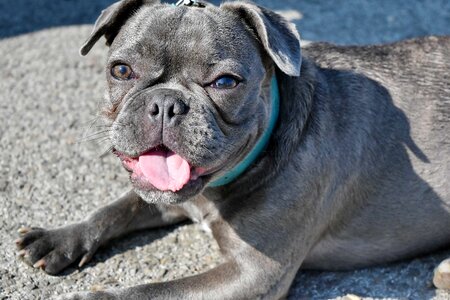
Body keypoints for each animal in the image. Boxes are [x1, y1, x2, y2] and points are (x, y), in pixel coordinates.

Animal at [14, 0, 450, 298]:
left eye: (225, 82)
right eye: (121, 70)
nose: (165, 103)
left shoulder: (253, 273)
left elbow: (152, 292)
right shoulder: (168, 197)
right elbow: (117, 207)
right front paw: (60, 237)